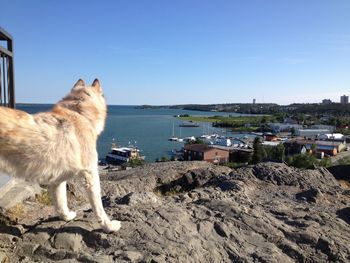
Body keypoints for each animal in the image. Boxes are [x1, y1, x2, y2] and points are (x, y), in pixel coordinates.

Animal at [0, 79, 120, 234]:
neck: (78, 112)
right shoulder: (90, 174)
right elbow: (99, 207)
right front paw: (109, 226)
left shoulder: (57, 179)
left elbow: (60, 202)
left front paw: (66, 217)